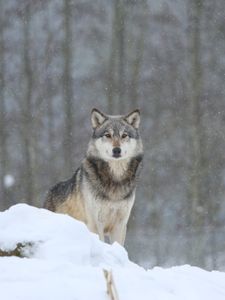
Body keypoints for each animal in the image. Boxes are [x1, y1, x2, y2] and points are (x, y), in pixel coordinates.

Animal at [43, 109, 143, 245]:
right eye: (107, 135)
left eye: (124, 135)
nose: (117, 150)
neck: (115, 179)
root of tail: (49, 192)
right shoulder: (95, 223)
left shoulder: (120, 225)